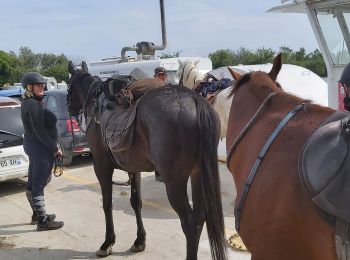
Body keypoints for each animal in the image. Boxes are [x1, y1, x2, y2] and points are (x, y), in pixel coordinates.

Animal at [67, 61, 228, 260]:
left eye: (69, 85)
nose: (68, 107)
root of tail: (195, 100)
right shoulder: (133, 168)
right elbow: (136, 203)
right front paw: (139, 241)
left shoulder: (101, 167)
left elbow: (107, 204)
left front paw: (107, 243)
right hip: (197, 175)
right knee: (199, 218)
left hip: (174, 182)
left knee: (189, 223)